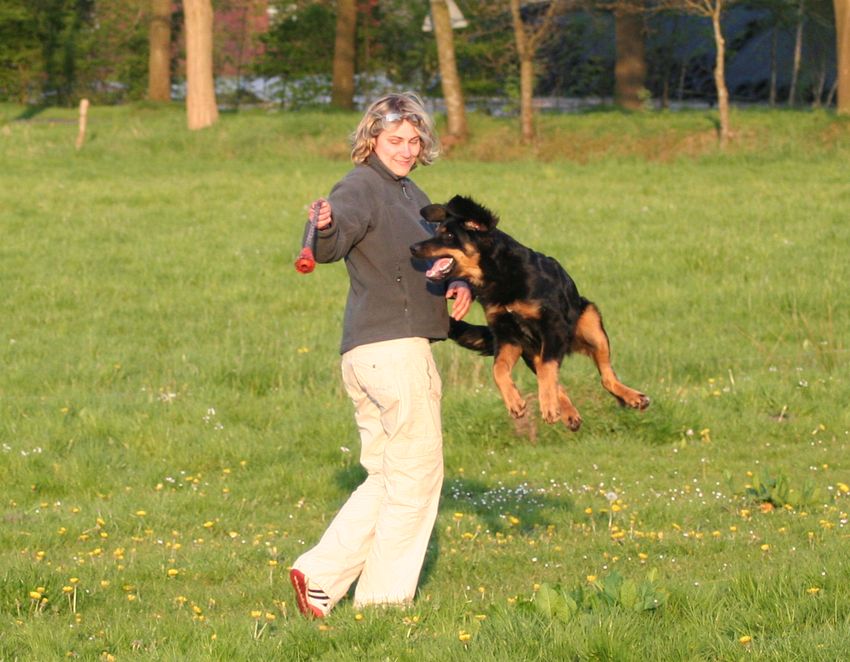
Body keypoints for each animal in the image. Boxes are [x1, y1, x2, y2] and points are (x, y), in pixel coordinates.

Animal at [410, 195, 649, 431]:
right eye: (438, 231)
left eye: (449, 236)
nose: (412, 247)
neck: (500, 273)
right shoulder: (508, 335)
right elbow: (499, 369)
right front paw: (515, 402)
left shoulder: (553, 325)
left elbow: (547, 368)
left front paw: (548, 406)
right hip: (532, 349)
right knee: (556, 378)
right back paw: (569, 413)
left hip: (591, 323)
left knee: (605, 376)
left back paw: (633, 397)